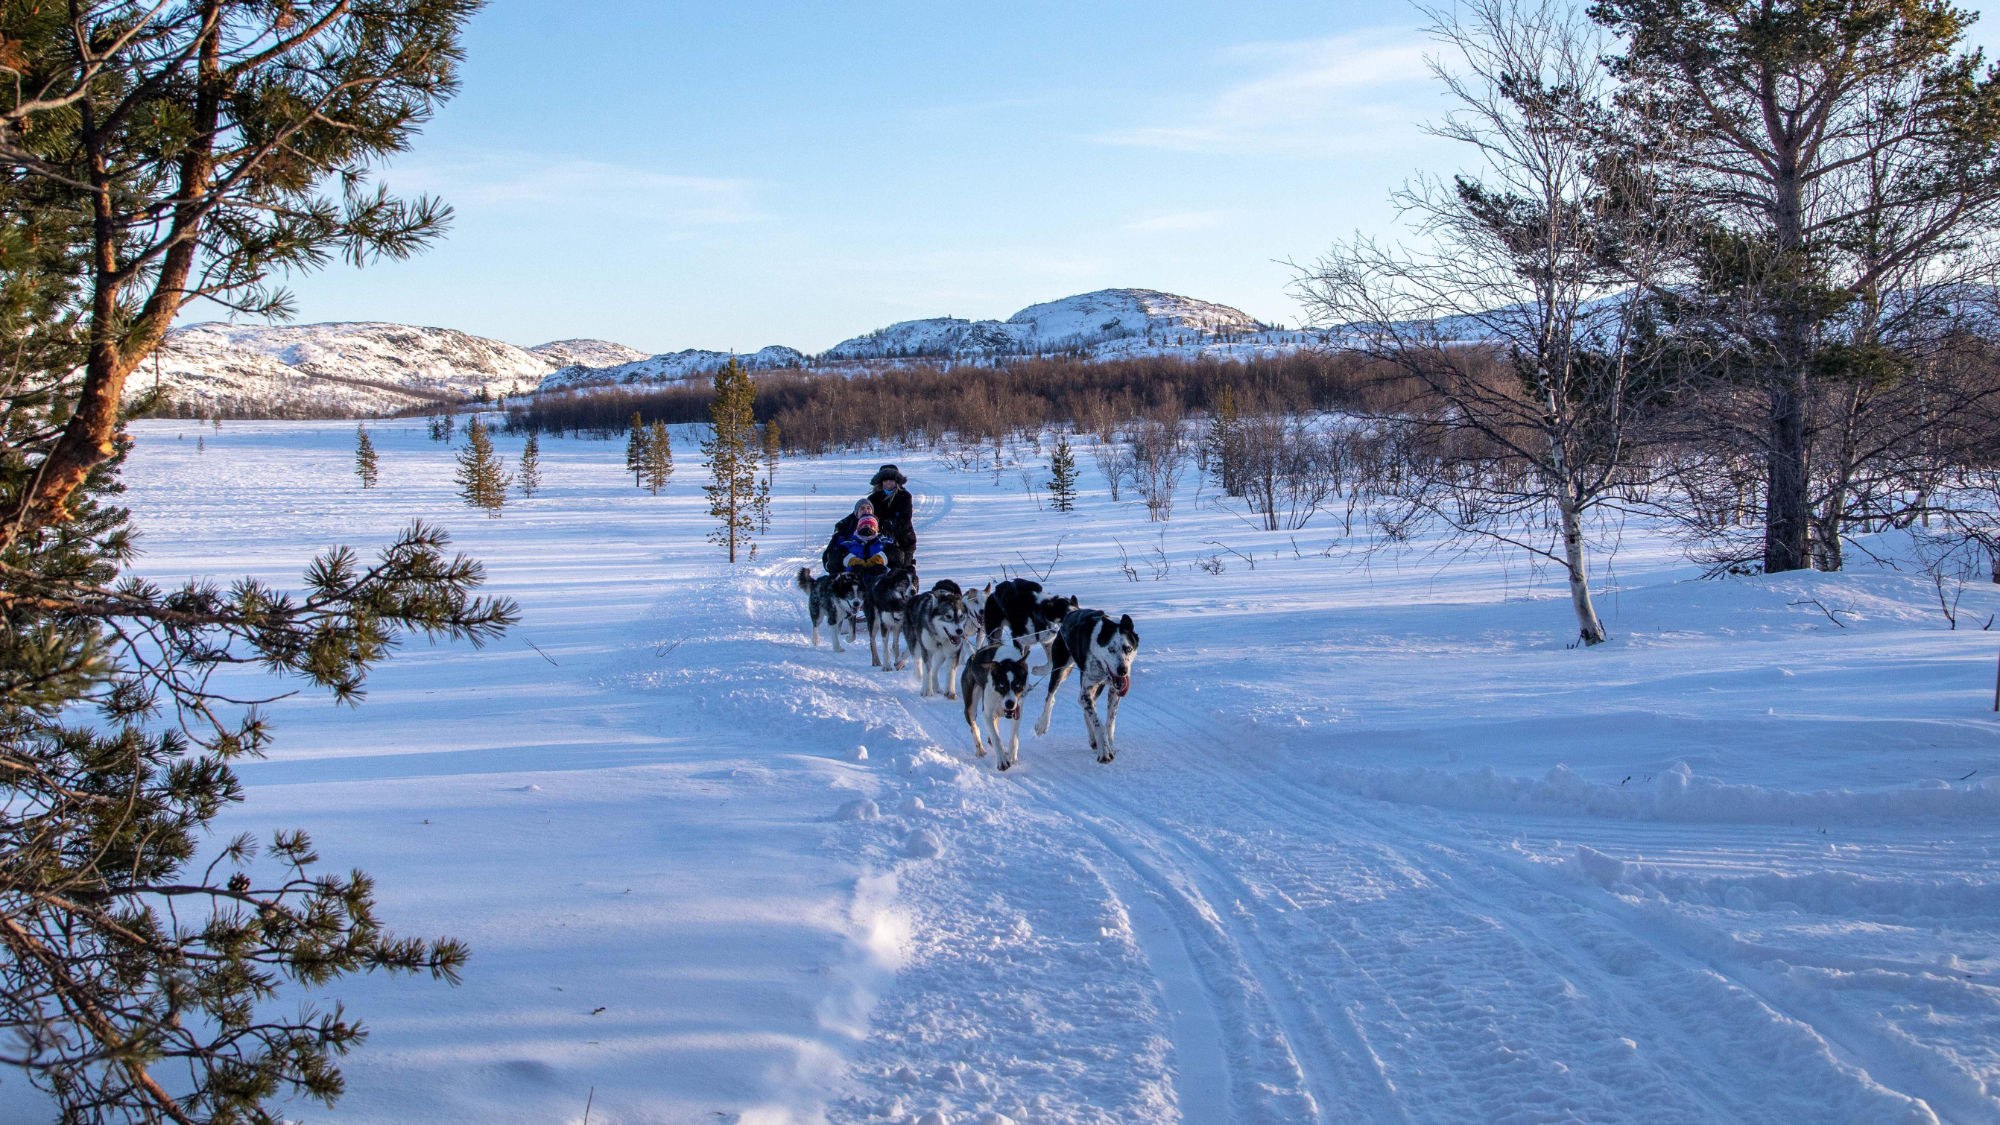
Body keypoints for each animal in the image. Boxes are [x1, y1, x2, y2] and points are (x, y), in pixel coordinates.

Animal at [964, 636, 1032, 764]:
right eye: (1001, 685)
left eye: (1017, 685)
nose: (1010, 704)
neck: (1007, 660)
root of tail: (972, 657)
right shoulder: (987, 713)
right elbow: (995, 738)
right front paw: (1002, 760)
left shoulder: (1018, 710)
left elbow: (1014, 737)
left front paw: (1012, 756)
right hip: (970, 706)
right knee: (974, 726)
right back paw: (980, 749)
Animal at [1040, 604, 1136, 760]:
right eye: (1111, 649)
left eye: (1128, 648)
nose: (1123, 670)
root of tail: (1071, 612)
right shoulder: (1087, 690)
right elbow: (1098, 722)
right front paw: (1104, 751)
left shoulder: (1113, 691)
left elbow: (1110, 721)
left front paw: (1109, 744)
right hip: (1061, 669)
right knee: (1051, 696)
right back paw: (1042, 724)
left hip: (1097, 686)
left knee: (1084, 704)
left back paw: (1093, 739)